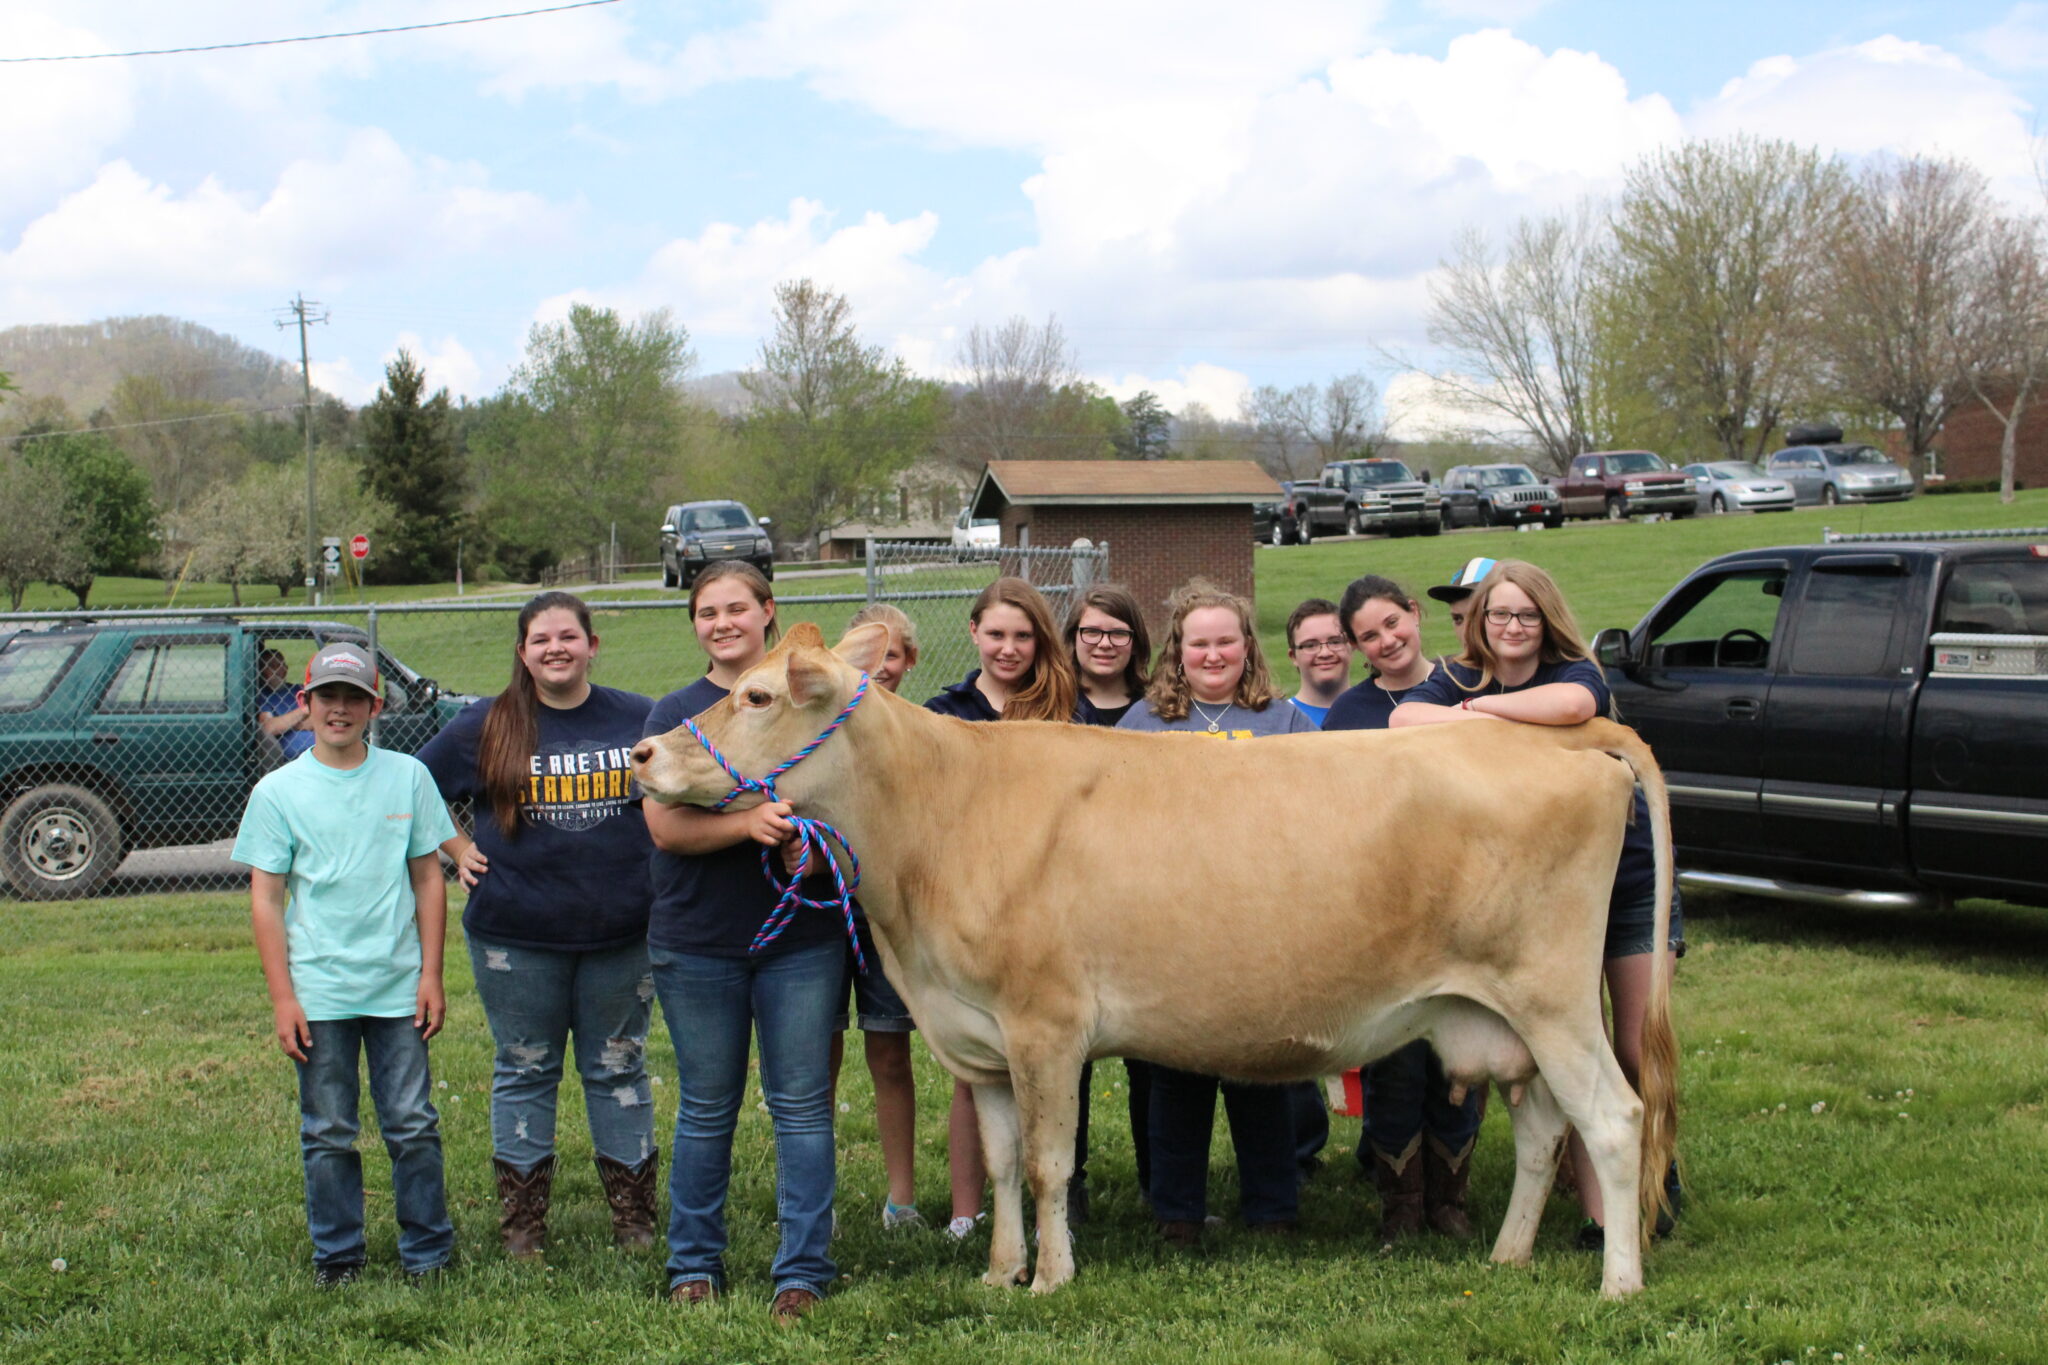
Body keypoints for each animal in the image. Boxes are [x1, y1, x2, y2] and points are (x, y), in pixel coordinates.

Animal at [630, 622, 1678, 1299]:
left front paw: (1051, 1280)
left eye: (756, 695)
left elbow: (1048, 1162)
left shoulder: (1045, 1024)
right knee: (1545, 1128)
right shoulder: (980, 1039)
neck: (936, 820)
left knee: (1614, 1118)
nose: (641, 754)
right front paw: (999, 1269)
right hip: (1506, 1017)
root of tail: (1556, 734)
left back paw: (1619, 1283)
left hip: (1553, 998)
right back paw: (1508, 1257)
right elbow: (1002, 1163)